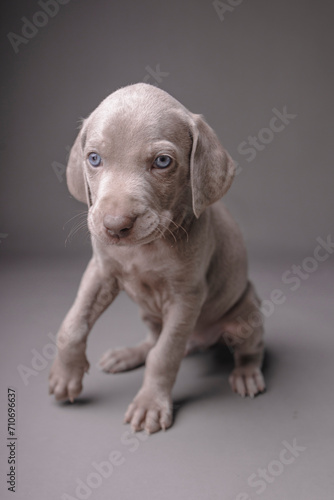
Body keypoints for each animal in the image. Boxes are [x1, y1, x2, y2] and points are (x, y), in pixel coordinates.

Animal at [48, 82, 264, 434]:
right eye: (94, 159)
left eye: (162, 162)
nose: (115, 226)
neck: (144, 249)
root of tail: (200, 342)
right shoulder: (100, 272)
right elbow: (73, 324)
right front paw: (66, 375)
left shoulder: (186, 297)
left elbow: (165, 354)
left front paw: (150, 404)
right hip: (148, 313)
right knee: (151, 339)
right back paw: (127, 355)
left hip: (245, 316)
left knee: (249, 348)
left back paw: (246, 374)